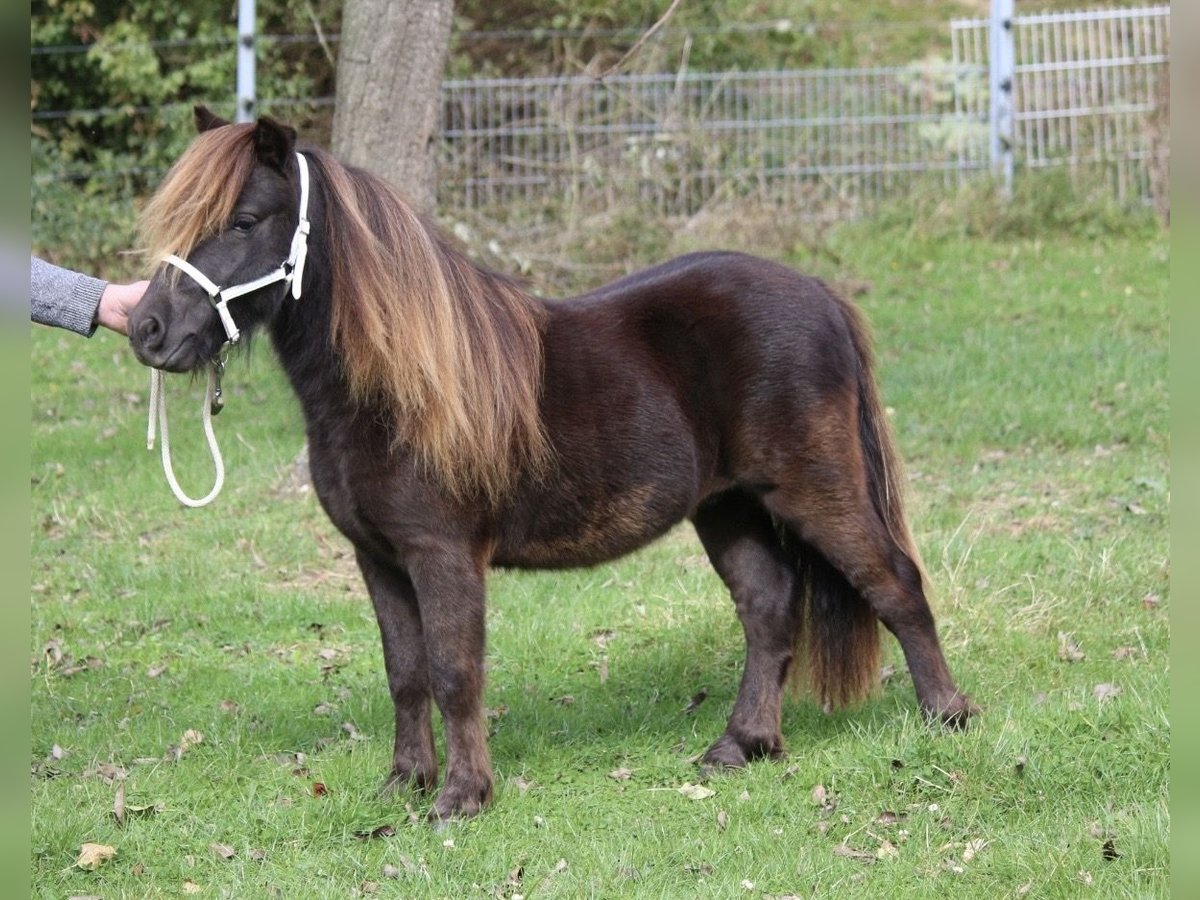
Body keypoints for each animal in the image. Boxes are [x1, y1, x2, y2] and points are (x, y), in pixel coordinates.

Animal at [133, 107, 974, 825]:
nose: (148, 328)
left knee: (894, 583)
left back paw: (946, 717)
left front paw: (462, 798)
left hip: (813, 488)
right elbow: (405, 672)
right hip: (728, 507)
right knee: (768, 610)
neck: (400, 388)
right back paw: (741, 746)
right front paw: (404, 784)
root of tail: (822, 294)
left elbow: (453, 671)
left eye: (246, 220)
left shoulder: (442, 555)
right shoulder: (377, 558)